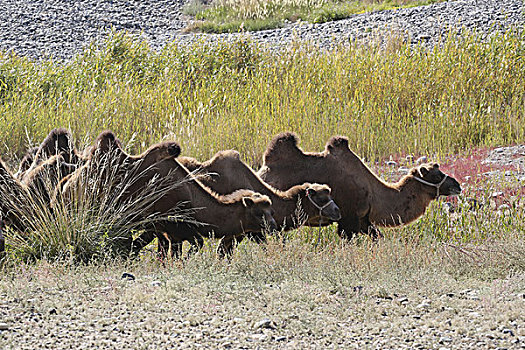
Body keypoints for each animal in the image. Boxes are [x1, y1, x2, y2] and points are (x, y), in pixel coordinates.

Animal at [256, 133, 458, 239]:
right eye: (437, 174)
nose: (457, 185)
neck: (373, 193)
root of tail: (262, 172)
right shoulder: (348, 219)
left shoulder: (363, 219)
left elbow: (377, 236)